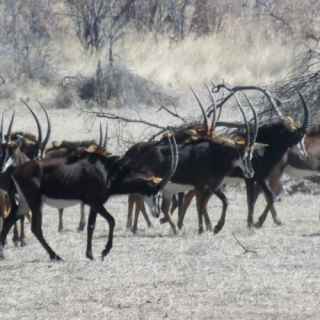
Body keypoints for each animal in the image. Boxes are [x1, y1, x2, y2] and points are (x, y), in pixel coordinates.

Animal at [5, 134, 178, 262]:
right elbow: (111, 221)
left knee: (9, 219)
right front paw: (103, 252)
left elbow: (91, 226)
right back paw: (56, 256)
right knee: (35, 228)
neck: (108, 172)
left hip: (24, 202)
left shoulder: (93, 204)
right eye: (156, 191)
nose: (157, 213)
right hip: (35, 202)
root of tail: (16, 171)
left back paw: (2, 253)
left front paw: (90, 254)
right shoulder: (96, 202)